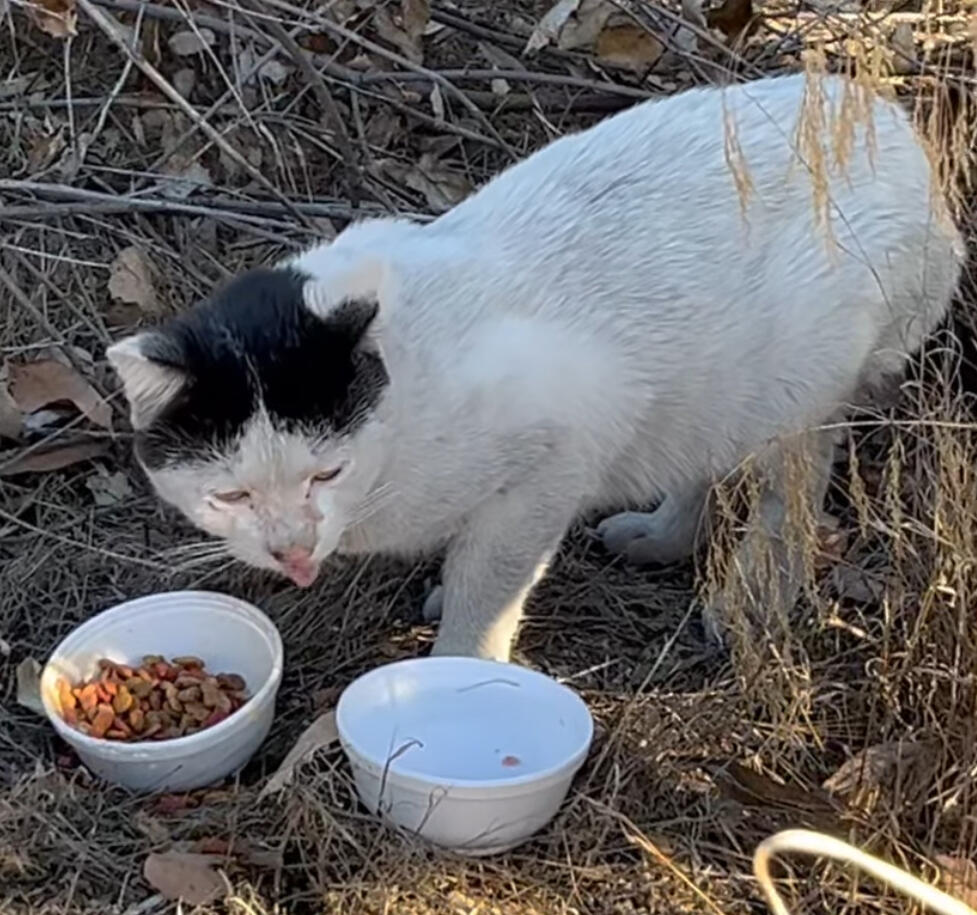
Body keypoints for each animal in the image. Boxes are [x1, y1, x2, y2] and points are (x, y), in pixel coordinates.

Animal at [107, 71, 960, 660]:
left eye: (326, 473)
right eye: (233, 494)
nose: (291, 546)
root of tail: (890, 120)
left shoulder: (555, 453)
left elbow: (487, 582)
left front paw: (458, 672)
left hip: (799, 389)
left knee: (794, 490)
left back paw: (750, 598)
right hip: (720, 391)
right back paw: (661, 534)